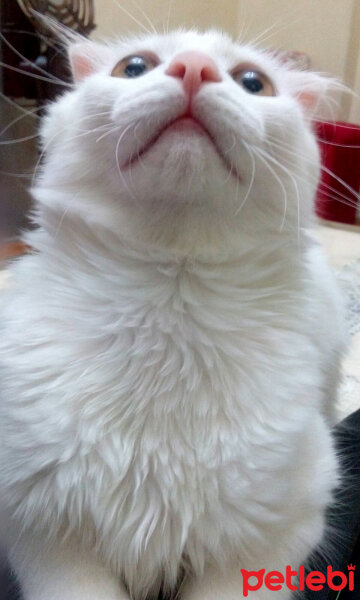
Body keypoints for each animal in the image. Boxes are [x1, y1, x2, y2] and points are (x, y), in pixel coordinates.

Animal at [0, 29, 348, 600]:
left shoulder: (278, 534)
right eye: (134, 67)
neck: (168, 305)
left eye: (253, 82)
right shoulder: (45, 534)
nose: (194, 66)